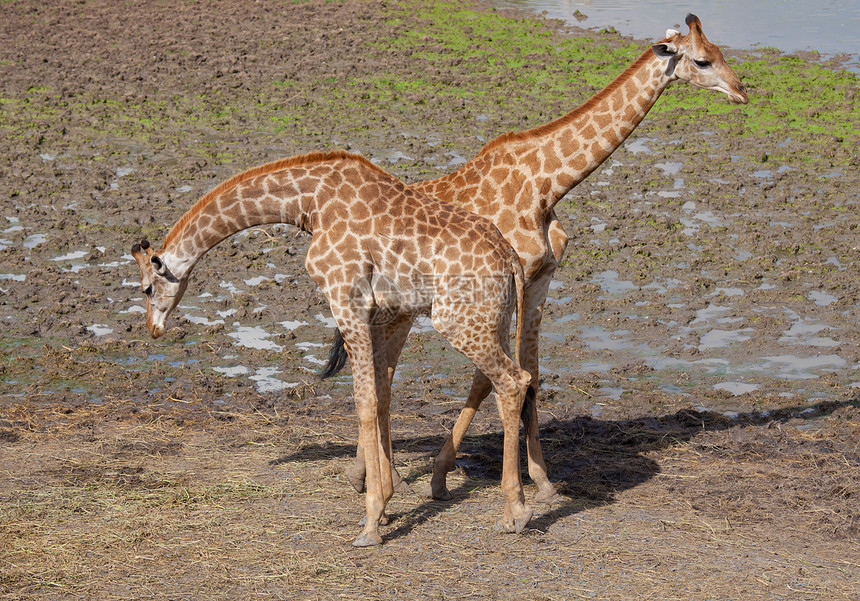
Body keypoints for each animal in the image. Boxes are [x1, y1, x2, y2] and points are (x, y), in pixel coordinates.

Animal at [131, 149, 536, 544]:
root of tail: (511, 258)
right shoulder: (382, 311)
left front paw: (371, 521)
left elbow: (365, 400)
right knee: (505, 381)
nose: (153, 329)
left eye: (147, 289)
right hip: (493, 320)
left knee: (513, 380)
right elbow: (382, 395)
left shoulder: (345, 297)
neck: (309, 202)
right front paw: (384, 505)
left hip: (456, 320)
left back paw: (516, 513)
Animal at [332, 14, 748, 502]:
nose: (742, 90)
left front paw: (543, 480)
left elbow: (530, 371)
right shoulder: (509, 283)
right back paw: (379, 475)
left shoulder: (540, 278)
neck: (547, 184)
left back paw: (371, 474)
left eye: (720, 51)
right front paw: (448, 475)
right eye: (702, 60)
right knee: (383, 371)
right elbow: (495, 379)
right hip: (397, 308)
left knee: (379, 370)